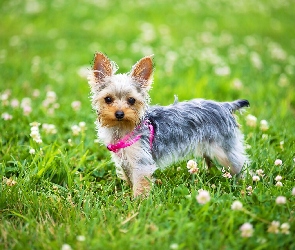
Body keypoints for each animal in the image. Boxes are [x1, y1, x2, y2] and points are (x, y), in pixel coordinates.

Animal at [88, 52, 250, 197]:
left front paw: (137, 203)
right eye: (108, 99)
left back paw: (245, 183)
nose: (119, 114)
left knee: (240, 164)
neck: (122, 127)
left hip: (224, 150)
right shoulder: (124, 160)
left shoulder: (141, 161)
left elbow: (140, 184)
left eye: (132, 100)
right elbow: (129, 177)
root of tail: (225, 106)